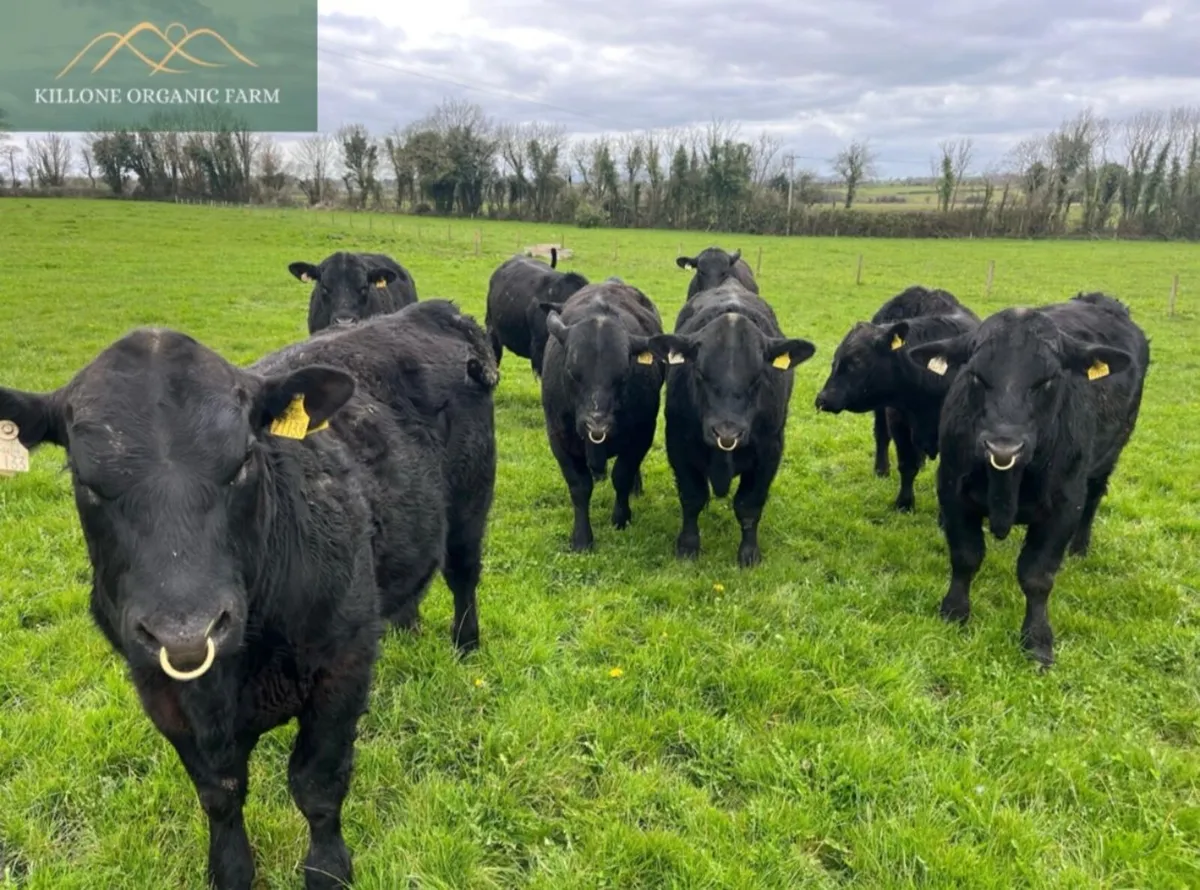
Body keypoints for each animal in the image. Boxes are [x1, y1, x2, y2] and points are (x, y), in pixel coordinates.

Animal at [0, 302, 497, 888]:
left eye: (242, 462)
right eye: (86, 480)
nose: (187, 633)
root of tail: (430, 311)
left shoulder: (342, 664)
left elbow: (317, 784)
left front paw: (328, 868)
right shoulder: (159, 689)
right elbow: (220, 793)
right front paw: (231, 868)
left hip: (470, 505)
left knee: (464, 576)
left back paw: (465, 646)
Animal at [538, 278, 665, 552]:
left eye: (623, 374)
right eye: (572, 371)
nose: (597, 425)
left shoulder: (642, 433)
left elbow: (622, 475)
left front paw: (621, 517)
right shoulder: (559, 438)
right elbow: (579, 487)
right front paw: (581, 538)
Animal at [646, 280, 816, 567]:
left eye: (758, 376)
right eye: (700, 373)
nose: (727, 432)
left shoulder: (770, 451)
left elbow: (748, 506)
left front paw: (748, 554)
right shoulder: (678, 444)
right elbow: (692, 498)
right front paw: (688, 547)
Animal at [815, 285, 980, 512]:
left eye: (857, 361)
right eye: (834, 361)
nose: (823, 399)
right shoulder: (899, 420)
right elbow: (907, 465)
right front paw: (904, 503)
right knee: (882, 436)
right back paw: (881, 469)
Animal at [906, 292, 1149, 666]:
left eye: (1046, 380)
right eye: (976, 375)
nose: (1003, 445)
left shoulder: (1064, 505)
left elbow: (1037, 576)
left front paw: (1037, 639)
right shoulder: (951, 489)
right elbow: (965, 556)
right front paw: (954, 612)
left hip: (1108, 458)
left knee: (1094, 500)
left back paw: (1080, 547)